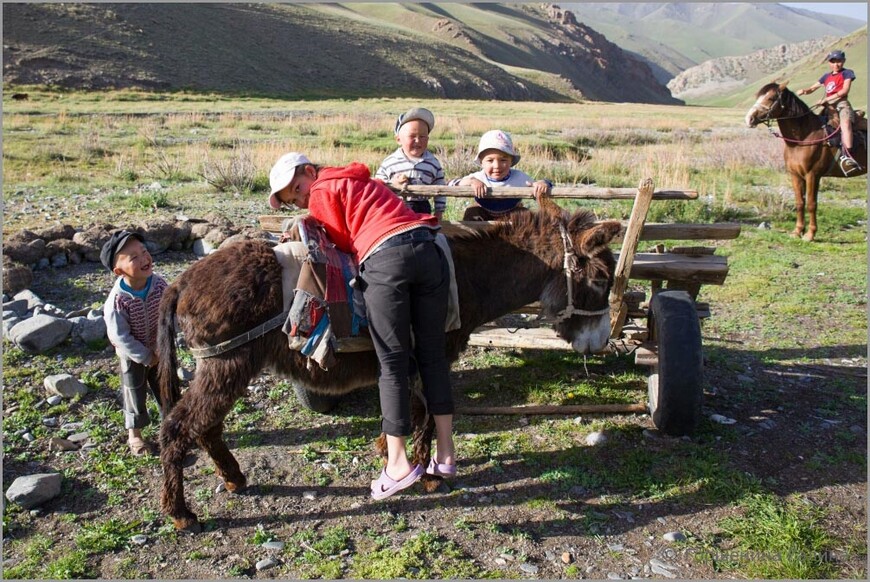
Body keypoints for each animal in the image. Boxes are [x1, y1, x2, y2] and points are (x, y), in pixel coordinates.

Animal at [155, 205, 620, 532]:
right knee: (180, 427)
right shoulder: (433, 353)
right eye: (600, 280)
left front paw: (390, 452)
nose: (600, 344)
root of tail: (182, 281)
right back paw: (181, 513)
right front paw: (426, 474)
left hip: (224, 366)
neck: (465, 276)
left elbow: (407, 408)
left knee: (206, 426)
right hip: (228, 363)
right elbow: (427, 413)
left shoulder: (407, 360)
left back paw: (234, 478)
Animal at [744, 82, 868, 242]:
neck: (802, 139)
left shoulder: (812, 175)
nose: (749, 119)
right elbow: (799, 202)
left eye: (770, 98)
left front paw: (810, 234)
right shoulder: (795, 175)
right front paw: (797, 231)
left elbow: (811, 204)